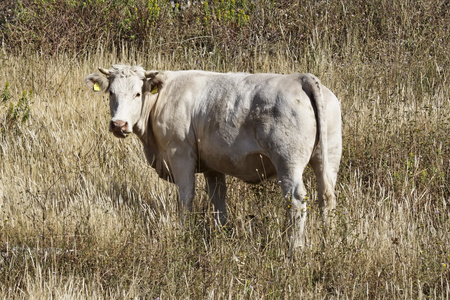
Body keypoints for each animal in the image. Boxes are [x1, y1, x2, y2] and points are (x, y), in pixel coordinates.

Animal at [86, 64, 342, 252]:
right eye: (111, 93)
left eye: (137, 93)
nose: (119, 124)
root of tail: (301, 78)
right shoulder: (212, 165)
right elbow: (218, 199)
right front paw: (223, 234)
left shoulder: (180, 155)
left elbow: (186, 196)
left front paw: (183, 233)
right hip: (328, 157)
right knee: (327, 197)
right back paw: (329, 241)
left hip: (288, 162)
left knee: (297, 200)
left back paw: (294, 249)